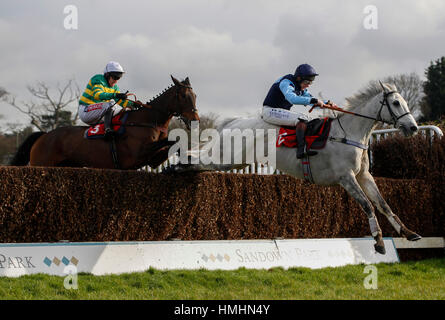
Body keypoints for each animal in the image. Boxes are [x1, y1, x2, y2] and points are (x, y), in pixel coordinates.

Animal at [10, 76, 199, 170]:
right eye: (183, 96)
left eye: (195, 95)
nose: (195, 120)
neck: (147, 121)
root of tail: (43, 136)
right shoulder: (138, 154)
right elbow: (174, 140)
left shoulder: (153, 159)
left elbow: (173, 143)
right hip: (41, 163)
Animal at [172, 82, 422, 255]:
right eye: (396, 103)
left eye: (404, 102)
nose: (413, 127)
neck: (349, 133)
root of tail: (233, 122)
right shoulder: (346, 177)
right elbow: (368, 205)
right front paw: (378, 241)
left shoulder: (363, 175)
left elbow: (383, 204)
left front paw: (408, 232)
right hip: (226, 157)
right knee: (196, 159)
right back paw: (174, 167)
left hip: (232, 160)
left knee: (197, 159)